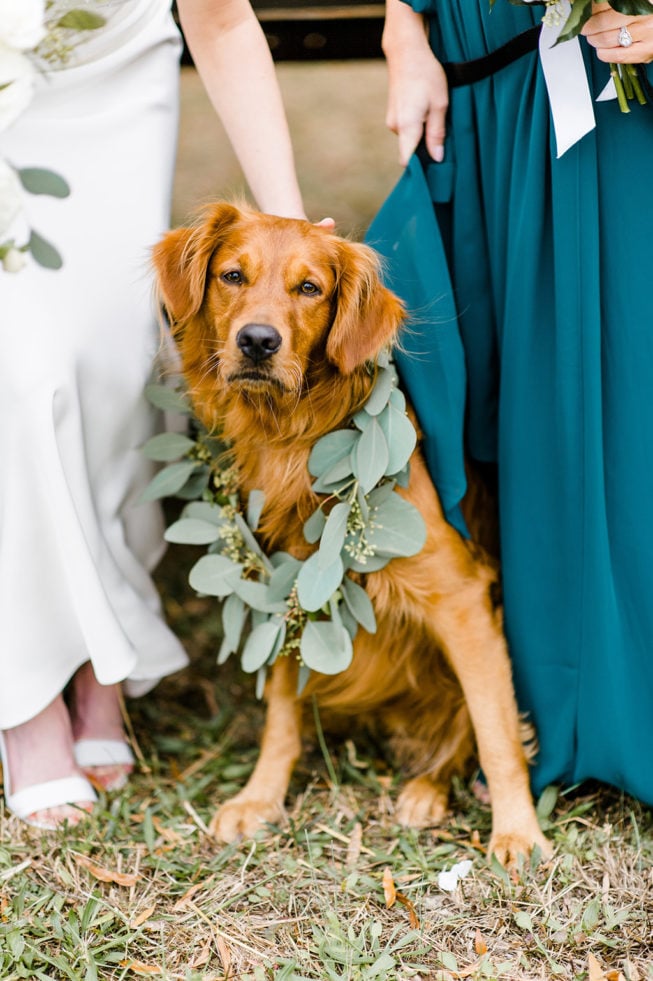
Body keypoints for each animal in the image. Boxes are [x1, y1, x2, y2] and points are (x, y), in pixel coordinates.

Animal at [153, 203, 552, 860]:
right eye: (232, 276)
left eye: (310, 288)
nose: (257, 341)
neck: (294, 438)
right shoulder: (288, 588)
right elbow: (281, 714)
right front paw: (261, 797)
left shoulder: (462, 598)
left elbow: (496, 734)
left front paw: (518, 832)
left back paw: (427, 790)